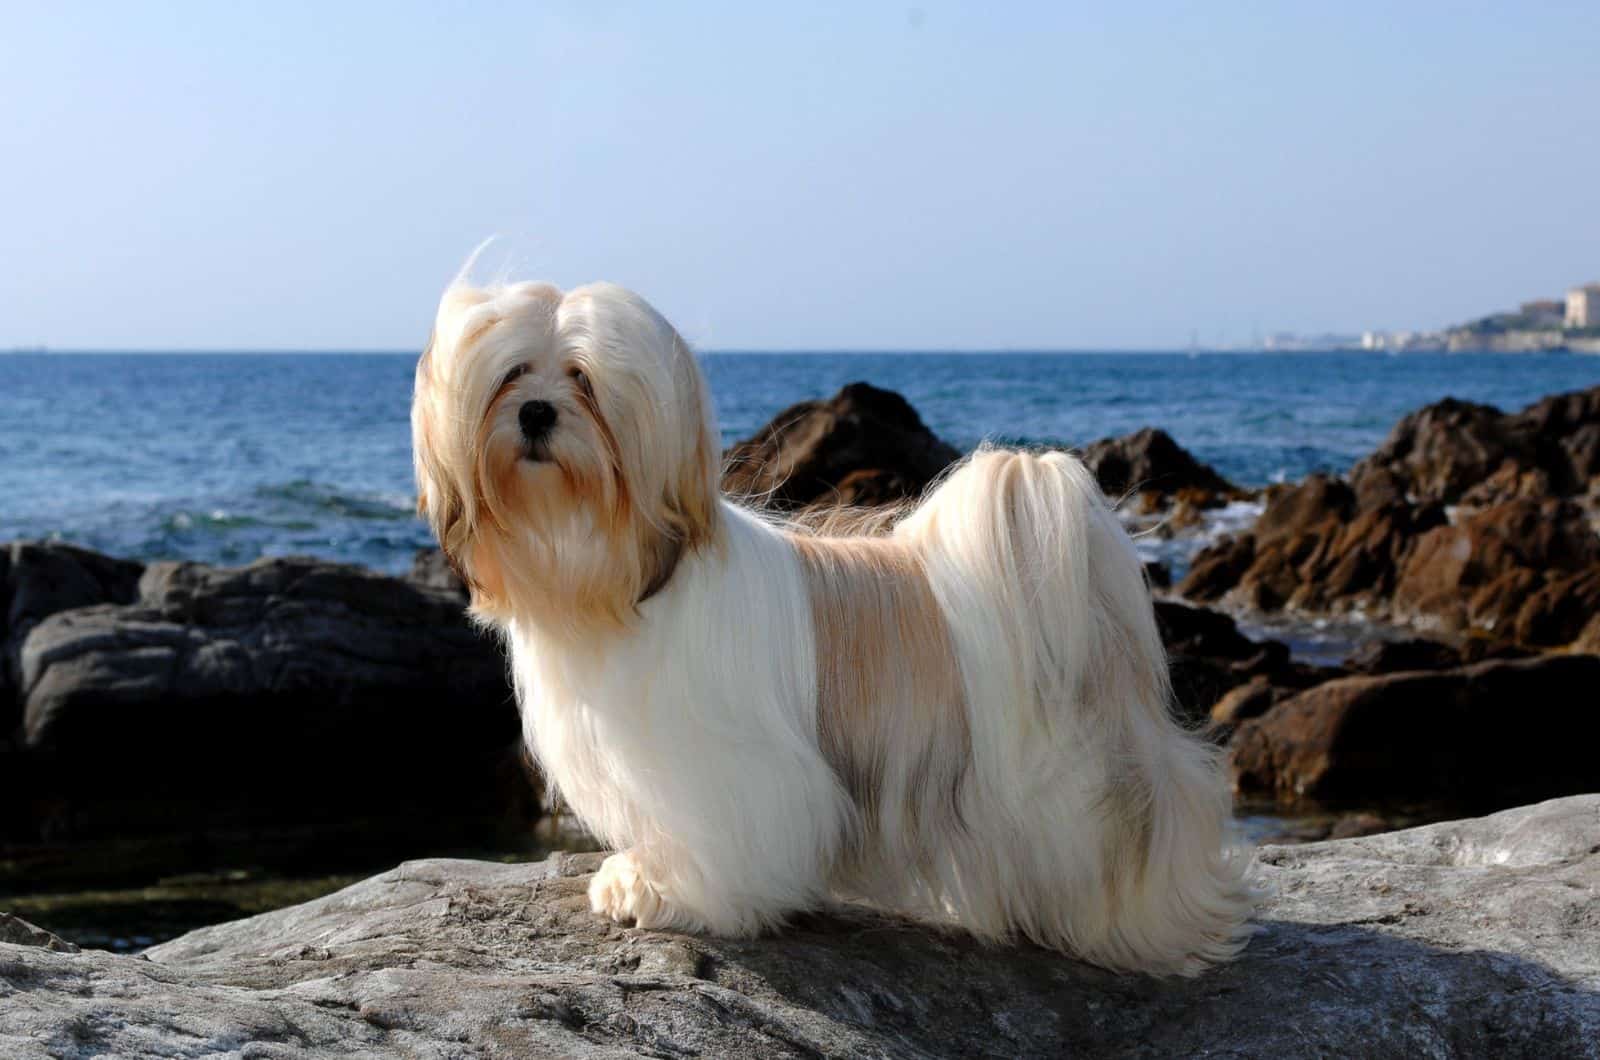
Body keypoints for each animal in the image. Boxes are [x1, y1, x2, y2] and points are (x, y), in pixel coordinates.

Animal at [409, 275, 1248, 979]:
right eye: (512, 374)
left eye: (582, 379)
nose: (537, 412)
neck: (608, 574)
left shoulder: (728, 767)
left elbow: (723, 835)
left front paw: (672, 895)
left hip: (1068, 778)